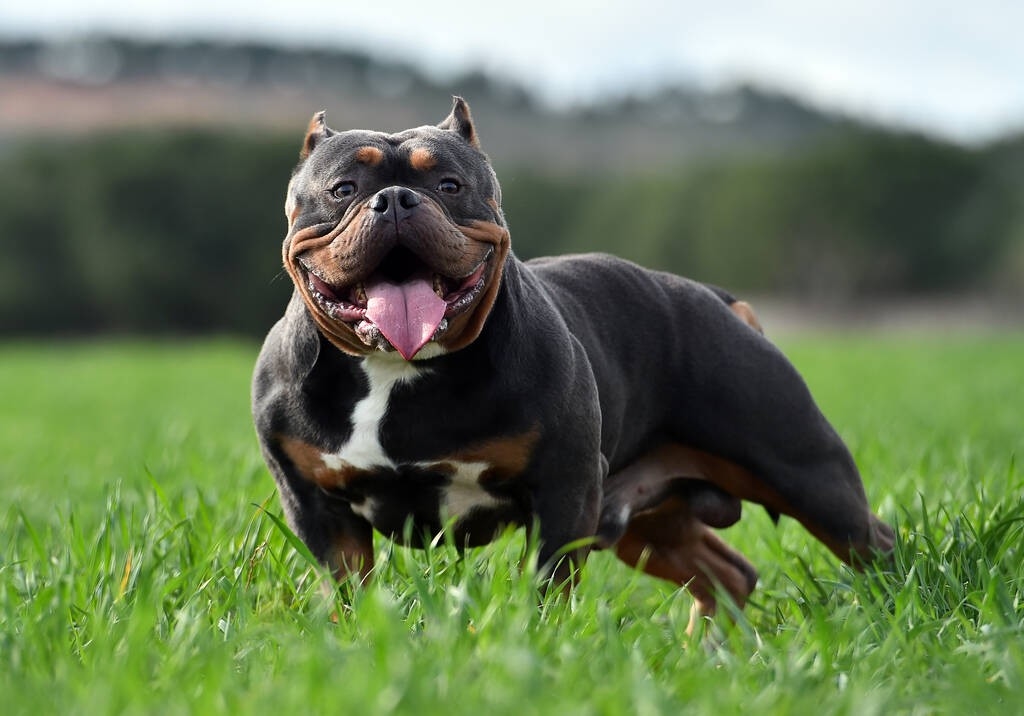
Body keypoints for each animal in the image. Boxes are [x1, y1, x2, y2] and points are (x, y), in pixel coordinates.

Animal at [251, 96, 892, 626]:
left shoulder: (565, 488)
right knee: (727, 571)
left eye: (451, 185)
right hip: (649, 520)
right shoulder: (317, 507)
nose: (394, 199)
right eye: (343, 189)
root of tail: (715, 297)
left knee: (869, 540)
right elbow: (346, 586)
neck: (397, 369)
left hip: (803, 470)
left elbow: (548, 583)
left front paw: (539, 637)